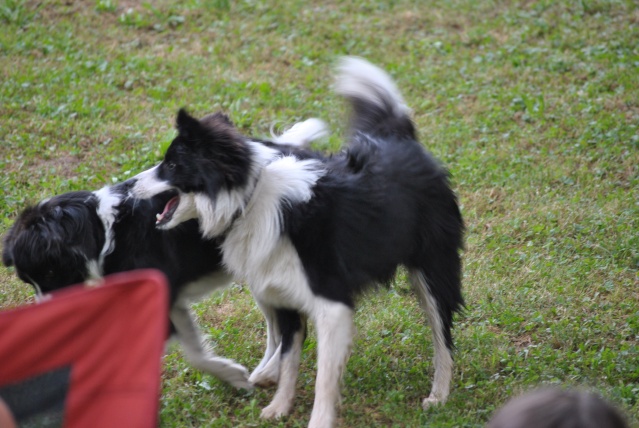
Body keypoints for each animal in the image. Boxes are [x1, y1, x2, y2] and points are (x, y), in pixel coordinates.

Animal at [1, 117, 330, 392]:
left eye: (52, 272)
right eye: (29, 282)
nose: (46, 317)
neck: (105, 231)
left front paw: (233, 375)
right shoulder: (170, 298)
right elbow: (193, 350)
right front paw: (232, 375)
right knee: (276, 328)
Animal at [126, 57, 464, 428]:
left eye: (172, 164)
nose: (128, 187)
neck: (250, 200)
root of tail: (398, 139)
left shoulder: (332, 303)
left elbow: (324, 377)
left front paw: (318, 420)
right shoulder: (283, 296)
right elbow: (290, 359)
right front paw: (278, 407)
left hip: (433, 271)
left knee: (443, 335)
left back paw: (439, 395)